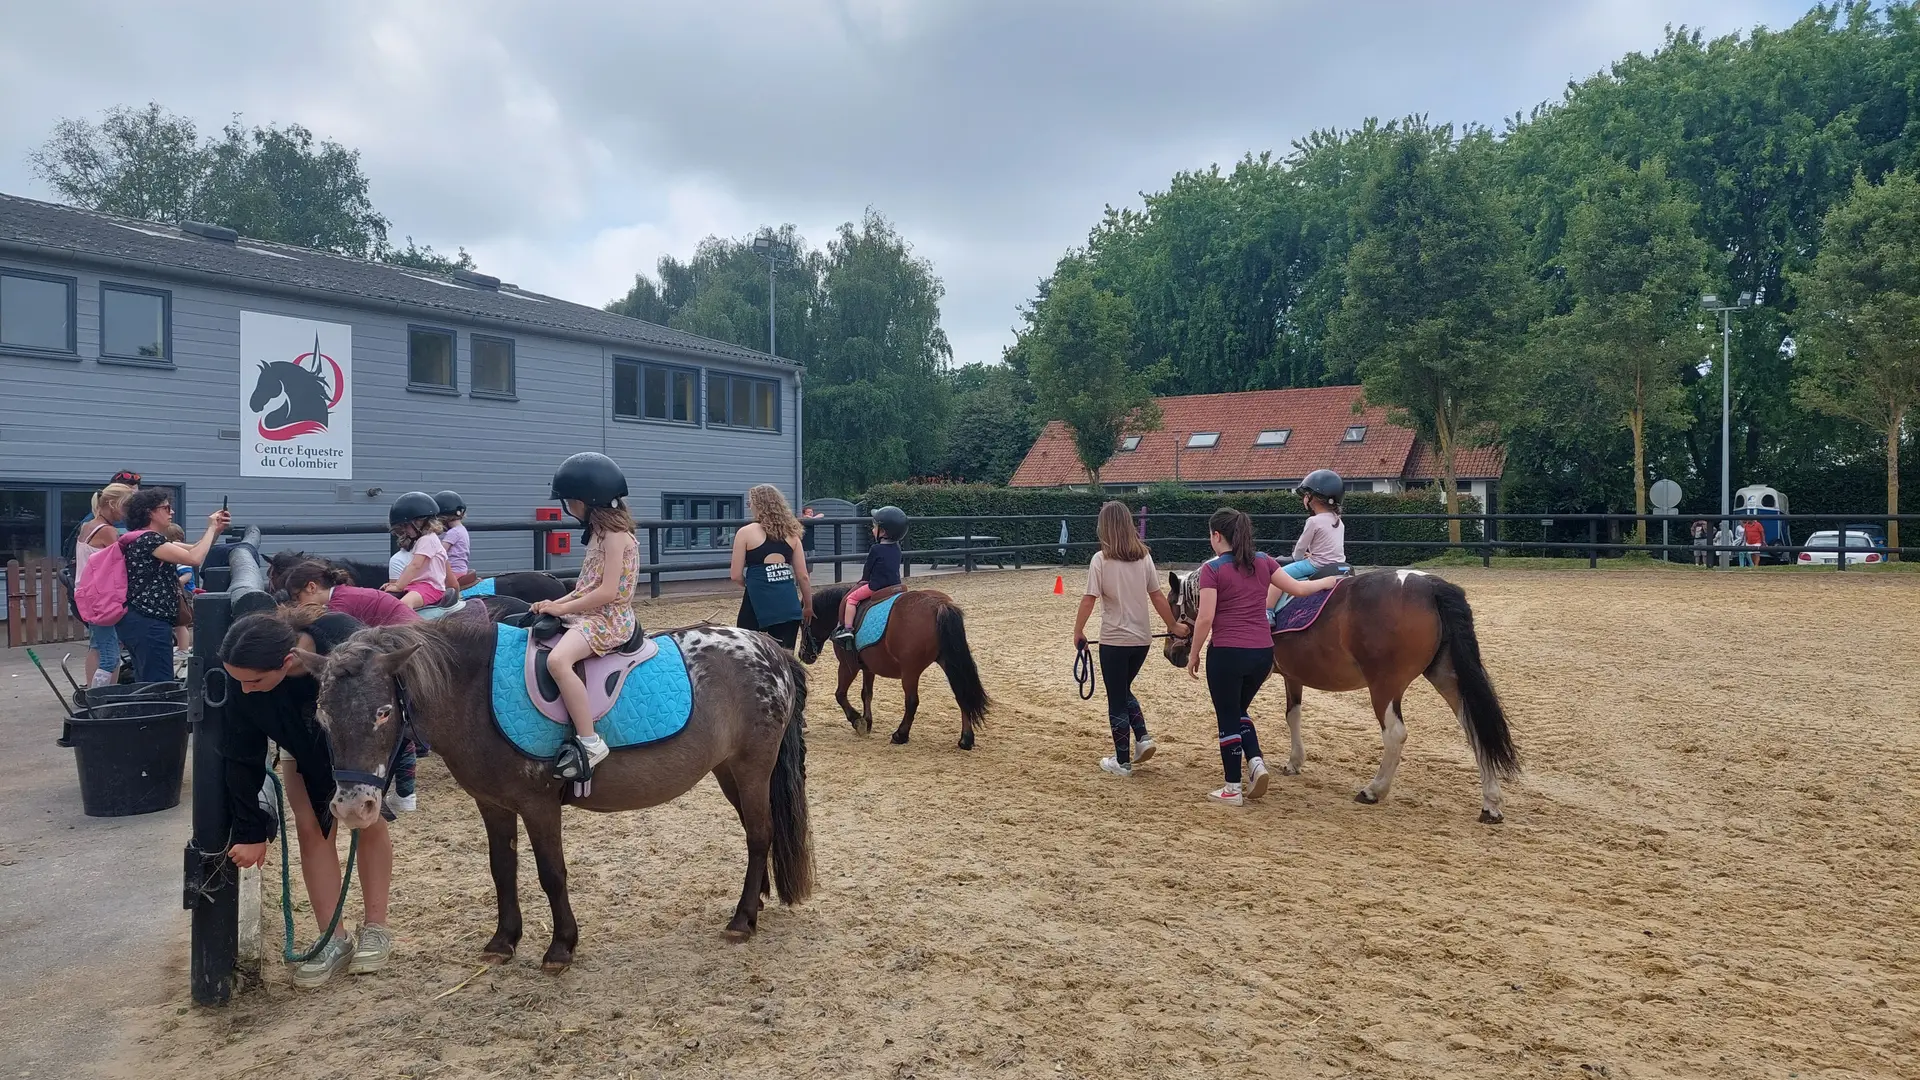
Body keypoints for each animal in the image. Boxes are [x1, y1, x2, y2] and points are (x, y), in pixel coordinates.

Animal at [295, 614, 814, 968]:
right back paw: (757, 901)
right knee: (757, 830)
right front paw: (503, 941)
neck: (474, 691)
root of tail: (768, 646)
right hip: (729, 771)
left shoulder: (538, 804)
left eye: (384, 712)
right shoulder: (492, 804)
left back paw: (742, 919)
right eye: (320, 714)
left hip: (751, 767)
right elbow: (502, 870)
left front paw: (561, 945)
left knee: (760, 835)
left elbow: (551, 873)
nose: (353, 807)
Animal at [794, 584, 990, 745]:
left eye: (803, 623)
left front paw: (857, 720)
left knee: (912, 701)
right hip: (949, 663)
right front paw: (867, 721)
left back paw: (900, 735)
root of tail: (938, 604)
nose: (803, 655)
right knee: (962, 694)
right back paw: (966, 739)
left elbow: (840, 694)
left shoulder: (848, 666)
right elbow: (866, 693)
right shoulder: (868, 667)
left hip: (910, 671)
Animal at [1159, 564, 1520, 814]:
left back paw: (1374, 790)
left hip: (1385, 686)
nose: (1171, 653)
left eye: (1173, 605)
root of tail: (1429, 585)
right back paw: (1490, 802)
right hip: (1447, 677)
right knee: (1474, 728)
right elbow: (1293, 714)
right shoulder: (1293, 675)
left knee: (1395, 735)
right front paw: (1294, 762)